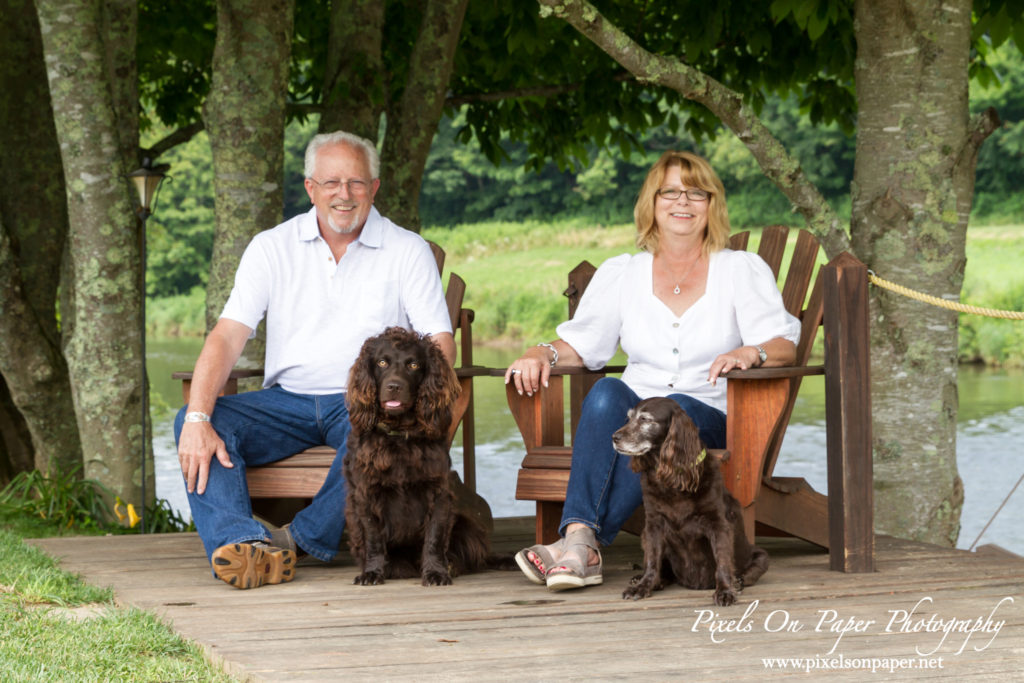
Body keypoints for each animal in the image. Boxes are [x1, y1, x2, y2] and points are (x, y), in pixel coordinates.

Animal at [344, 327, 495, 585]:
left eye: (413, 365)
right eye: (382, 362)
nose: (394, 386)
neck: (398, 436)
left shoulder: (438, 493)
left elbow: (434, 537)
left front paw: (436, 572)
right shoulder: (366, 494)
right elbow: (373, 539)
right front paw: (372, 572)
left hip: (465, 523)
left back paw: (451, 565)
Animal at [606, 397, 770, 606]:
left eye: (645, 419)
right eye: (629, 418)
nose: (614, 437)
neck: (671, 478)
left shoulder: (718, 525)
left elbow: (723, 562)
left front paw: (725, 591)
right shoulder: (653, 524)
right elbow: (652, 560)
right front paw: (643, 586)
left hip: (761, 556)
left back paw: (738, 582)